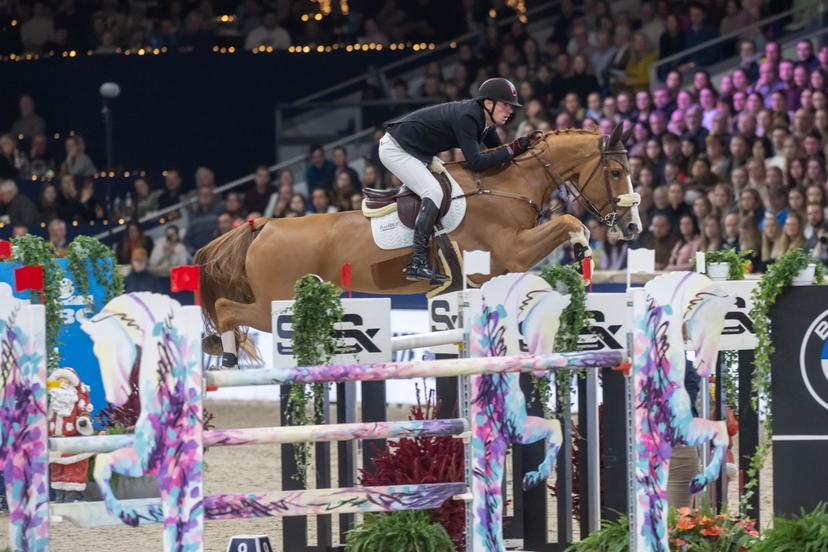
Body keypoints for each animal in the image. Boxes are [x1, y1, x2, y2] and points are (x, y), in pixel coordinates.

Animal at [195, 124, 641, 364]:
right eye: (616, 172)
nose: (634, 227)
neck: (508, 186)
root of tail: (263, 225)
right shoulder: (513, 251)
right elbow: (568, 221)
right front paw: (582, 249)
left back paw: (226, 353)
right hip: (275, 301)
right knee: (227, 308)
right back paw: (226, 351)